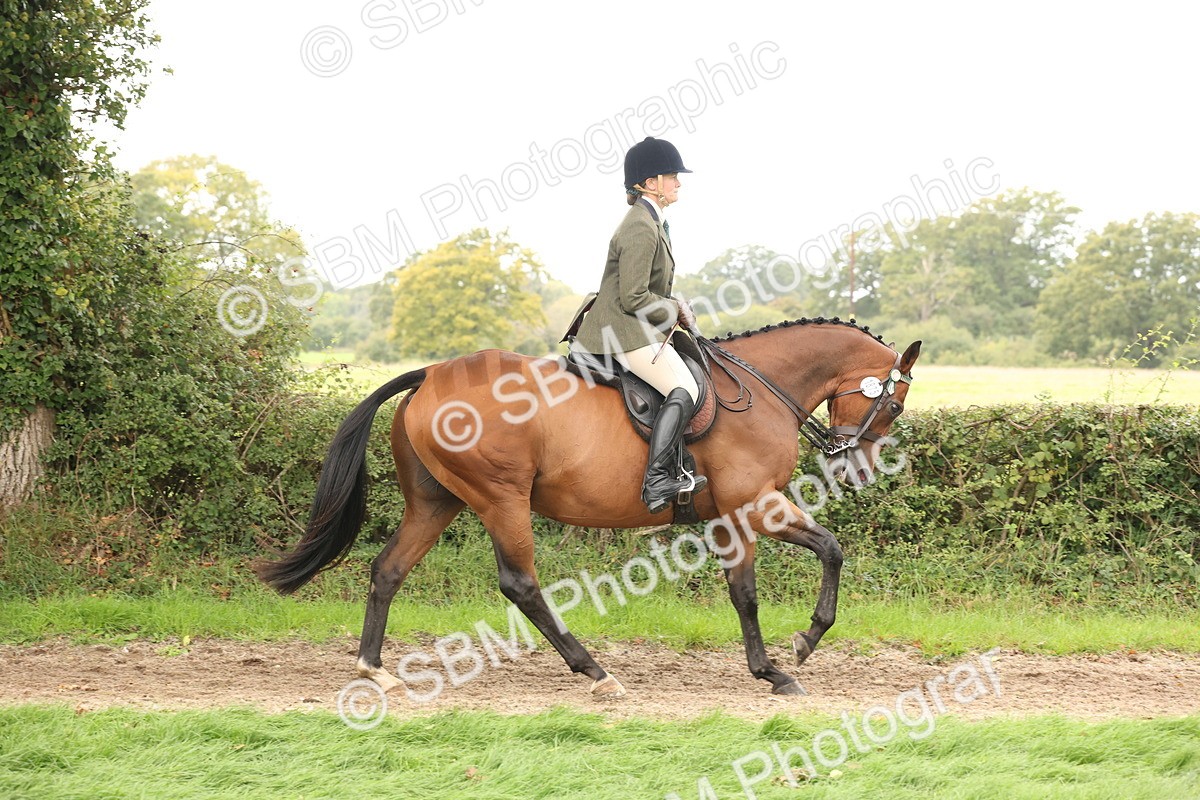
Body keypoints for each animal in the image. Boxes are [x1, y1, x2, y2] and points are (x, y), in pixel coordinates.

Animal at [257, 318, 921, 697]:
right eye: (892, 408)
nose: (856, 472)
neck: (759, 390)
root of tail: (431, 376)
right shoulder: (755, 504)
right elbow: (828, 551)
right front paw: (802, 646)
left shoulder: (731, 517)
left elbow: (745, 592)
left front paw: (771, 668)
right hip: (501, 498)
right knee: (520, 584)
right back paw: (595, 672)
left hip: (435, 502)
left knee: (388, 570)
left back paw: (373, 667)